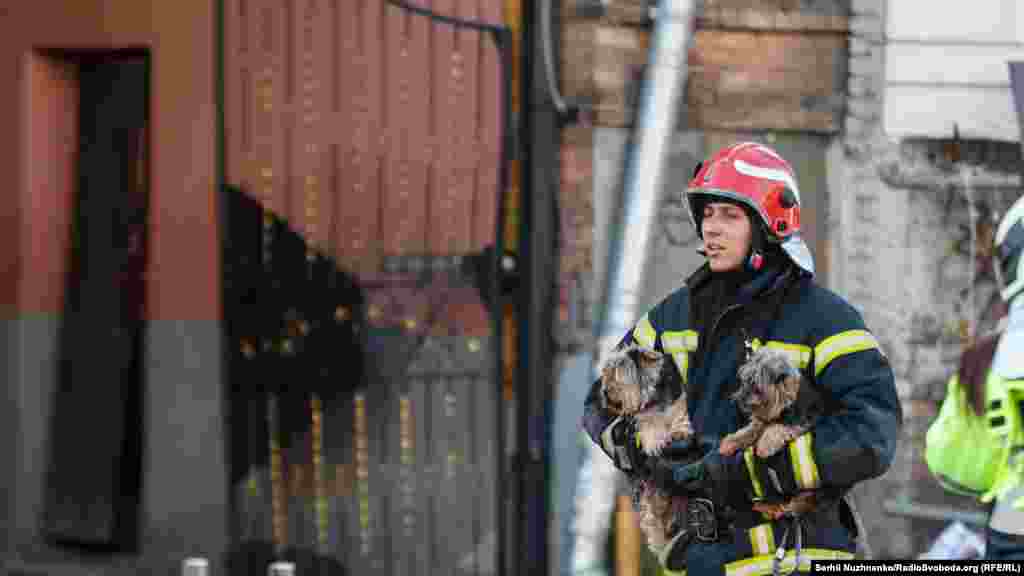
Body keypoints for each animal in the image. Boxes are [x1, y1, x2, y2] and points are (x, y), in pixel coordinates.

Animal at [598, 342, 692, 553]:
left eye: (619, 374)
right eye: (606, 375)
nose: (605, 392)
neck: (653, 399)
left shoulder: (676, 400)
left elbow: (680, 409)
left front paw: (680, 430)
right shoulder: (642, 416)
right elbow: (648, 423)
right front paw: (655, 442)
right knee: (653, 518)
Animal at [720, 344, 823, 520]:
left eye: (756, 387)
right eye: (743, 381)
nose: (737, 400)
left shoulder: (802, 420)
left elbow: (776, 428)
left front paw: (764, 446)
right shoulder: (763, 419)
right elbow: (750, 430)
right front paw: (731, 442)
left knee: (809, 496)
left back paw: (791, 505)